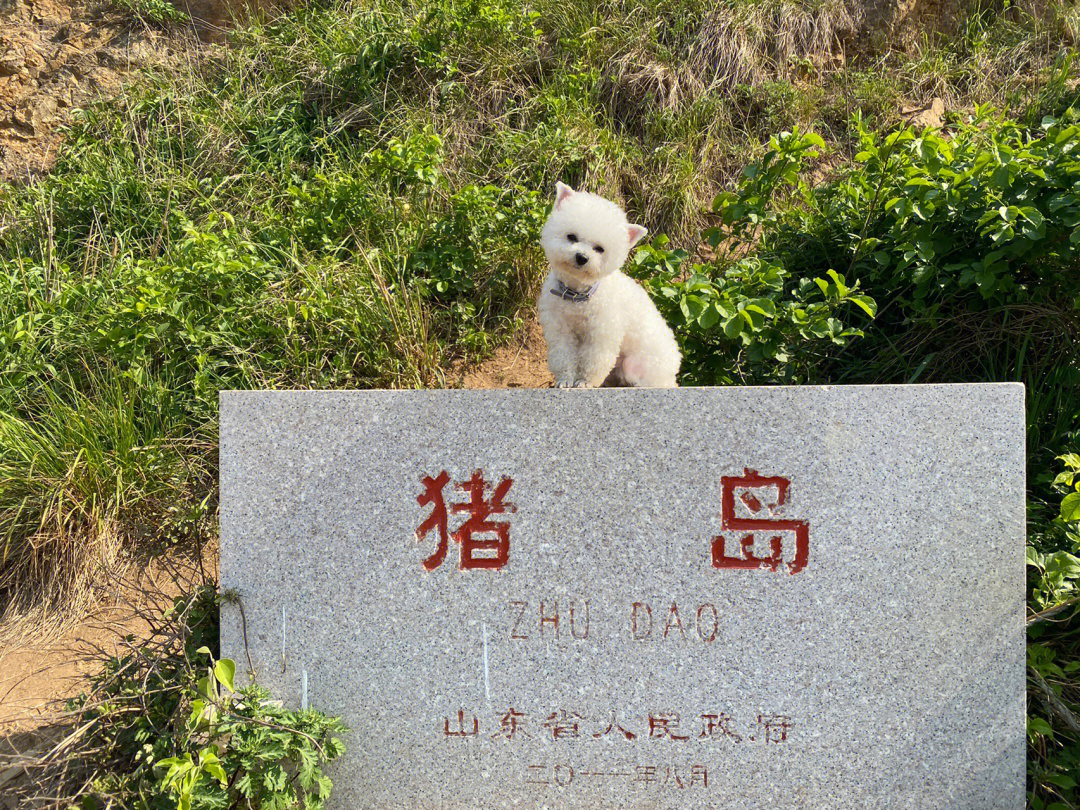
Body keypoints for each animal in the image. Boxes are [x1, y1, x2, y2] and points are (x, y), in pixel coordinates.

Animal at [535, 183, 678, 390]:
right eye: (571, 237)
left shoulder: (602, 332)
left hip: (634, 364)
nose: (582, 257)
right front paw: (565, 380)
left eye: (599, 249)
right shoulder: (559, 328)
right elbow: (563, 356)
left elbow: (594, 360)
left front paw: (585, 382)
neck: (577, 295)